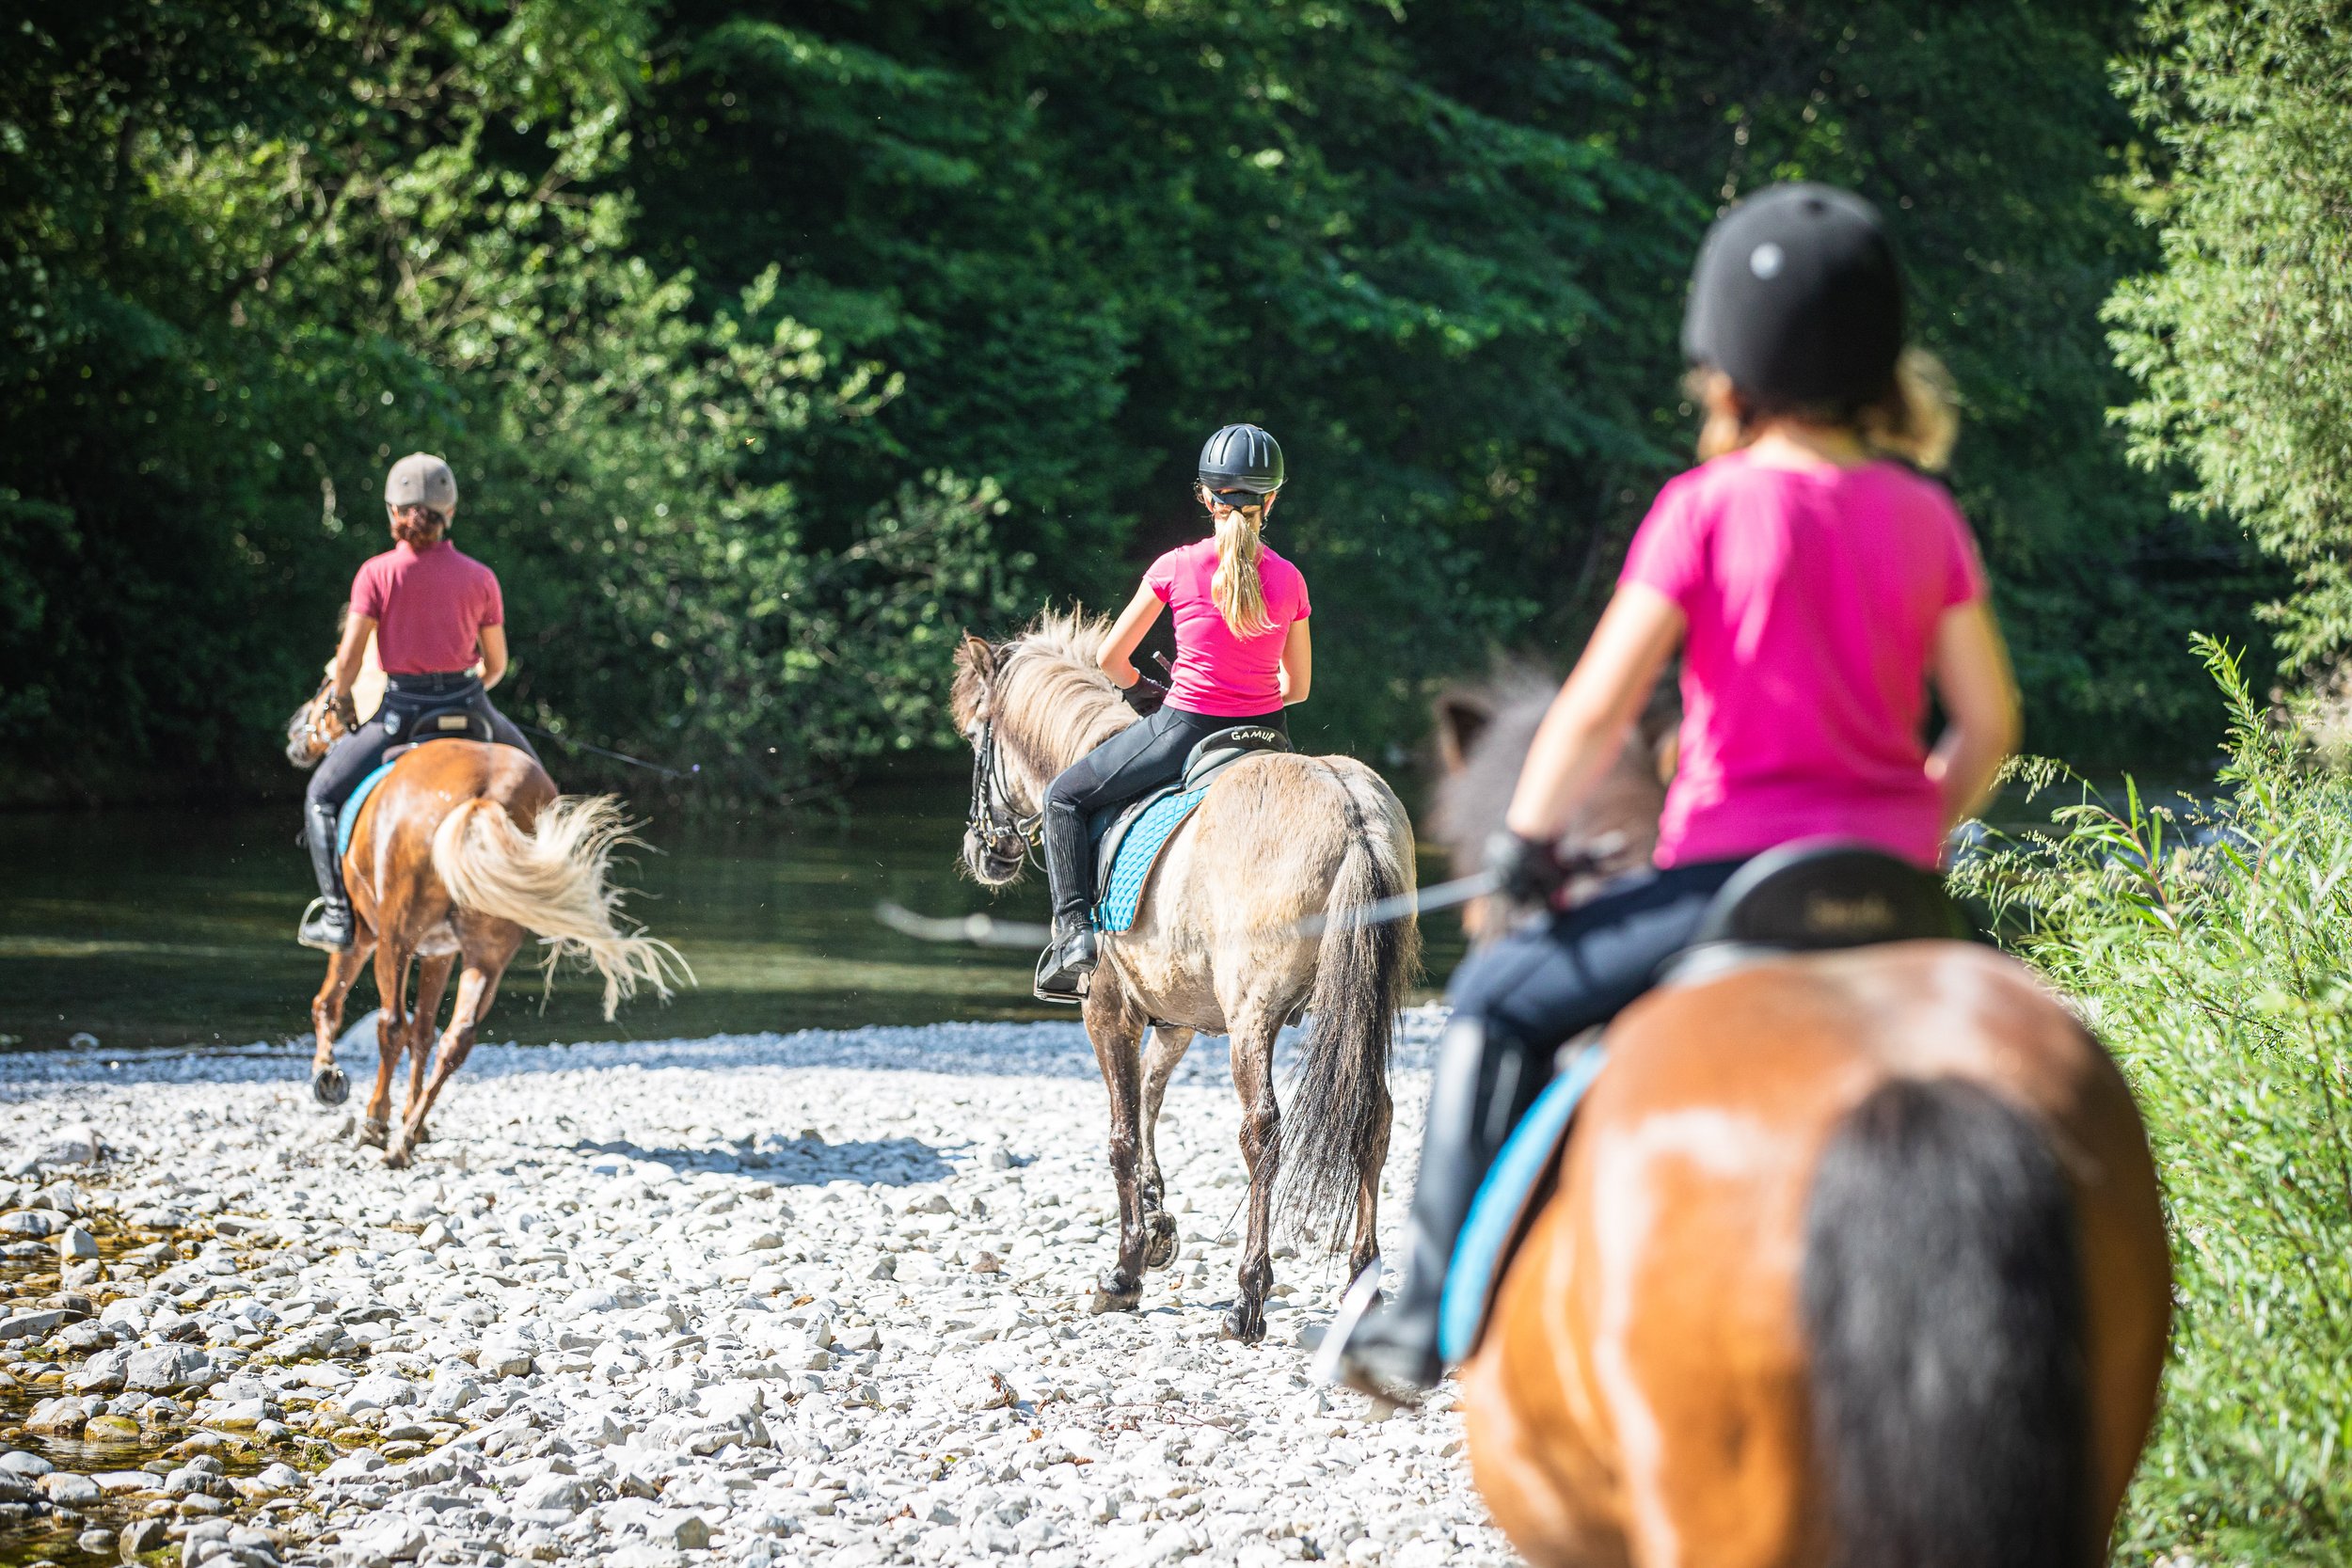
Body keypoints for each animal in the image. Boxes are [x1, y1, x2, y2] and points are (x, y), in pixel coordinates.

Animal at [287, 676, 682, 1165]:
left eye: (327, 688)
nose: (295, 733)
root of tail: (483, 796)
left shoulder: (366, 936)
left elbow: (330, 1004)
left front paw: (328, 1077)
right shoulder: (441, 952)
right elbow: (424, 1032)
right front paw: (413, 1120)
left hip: (393, 939)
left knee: (390, 1024)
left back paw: (377, 1126)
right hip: (488, 952)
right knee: (456, 1038)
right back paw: (407, 1135)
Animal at [950, 610, 1421, 1335]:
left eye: (977, 734)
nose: (985, 850)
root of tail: (1353, 814)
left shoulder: (1108, 1008)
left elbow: (1120, 1133)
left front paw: (1123, 1272)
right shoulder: (1174, 1018)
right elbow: (1148, 1099)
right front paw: (1157, 1223)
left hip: (1254, 1019)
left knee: (1262, 1133)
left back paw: (1248, 1297)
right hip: (1362, 1012)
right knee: (1374, 1117)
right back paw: (1359, 1287)